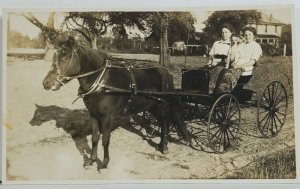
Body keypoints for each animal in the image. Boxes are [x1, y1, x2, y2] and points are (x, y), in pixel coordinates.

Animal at [42, 34, 190, 168]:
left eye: (65, 57)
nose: (46, 83)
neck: (102, 81)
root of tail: (165, 71)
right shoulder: (93, 115)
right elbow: (95, 138)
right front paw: (92, 160)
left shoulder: (107, 117)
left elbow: (105, 139)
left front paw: (104, 163)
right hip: (152, 106)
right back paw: (161, 145)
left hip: (162, 105)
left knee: (165, 123)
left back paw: (164, 147)